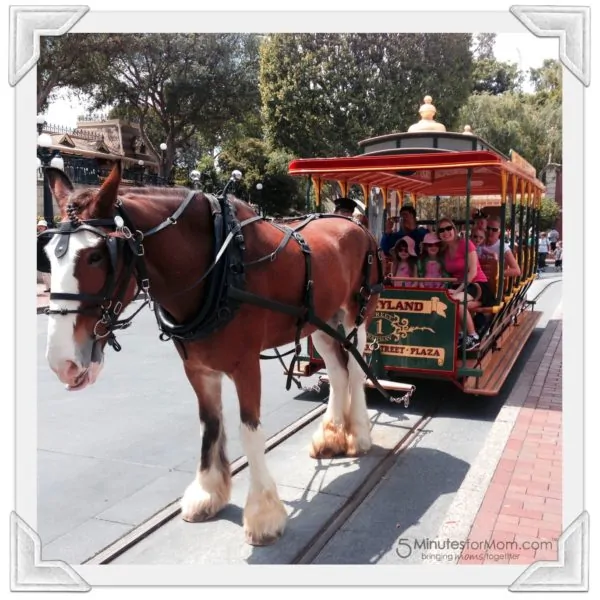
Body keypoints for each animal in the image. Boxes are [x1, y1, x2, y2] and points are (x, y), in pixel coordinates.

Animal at [42, 162, 382, 548]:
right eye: (48, 254)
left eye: (97, 255)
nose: (63, 362)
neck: (220, 266)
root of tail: (354, 223)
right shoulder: (197, 367)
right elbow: (210, 424)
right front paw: (207, 493)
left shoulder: (246, 364)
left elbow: (249, 431)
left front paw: (263, 514)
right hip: (320, 321)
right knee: (338, 372)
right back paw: (331, 436)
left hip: (356, 315)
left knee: (355, 370)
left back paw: (359, 437)